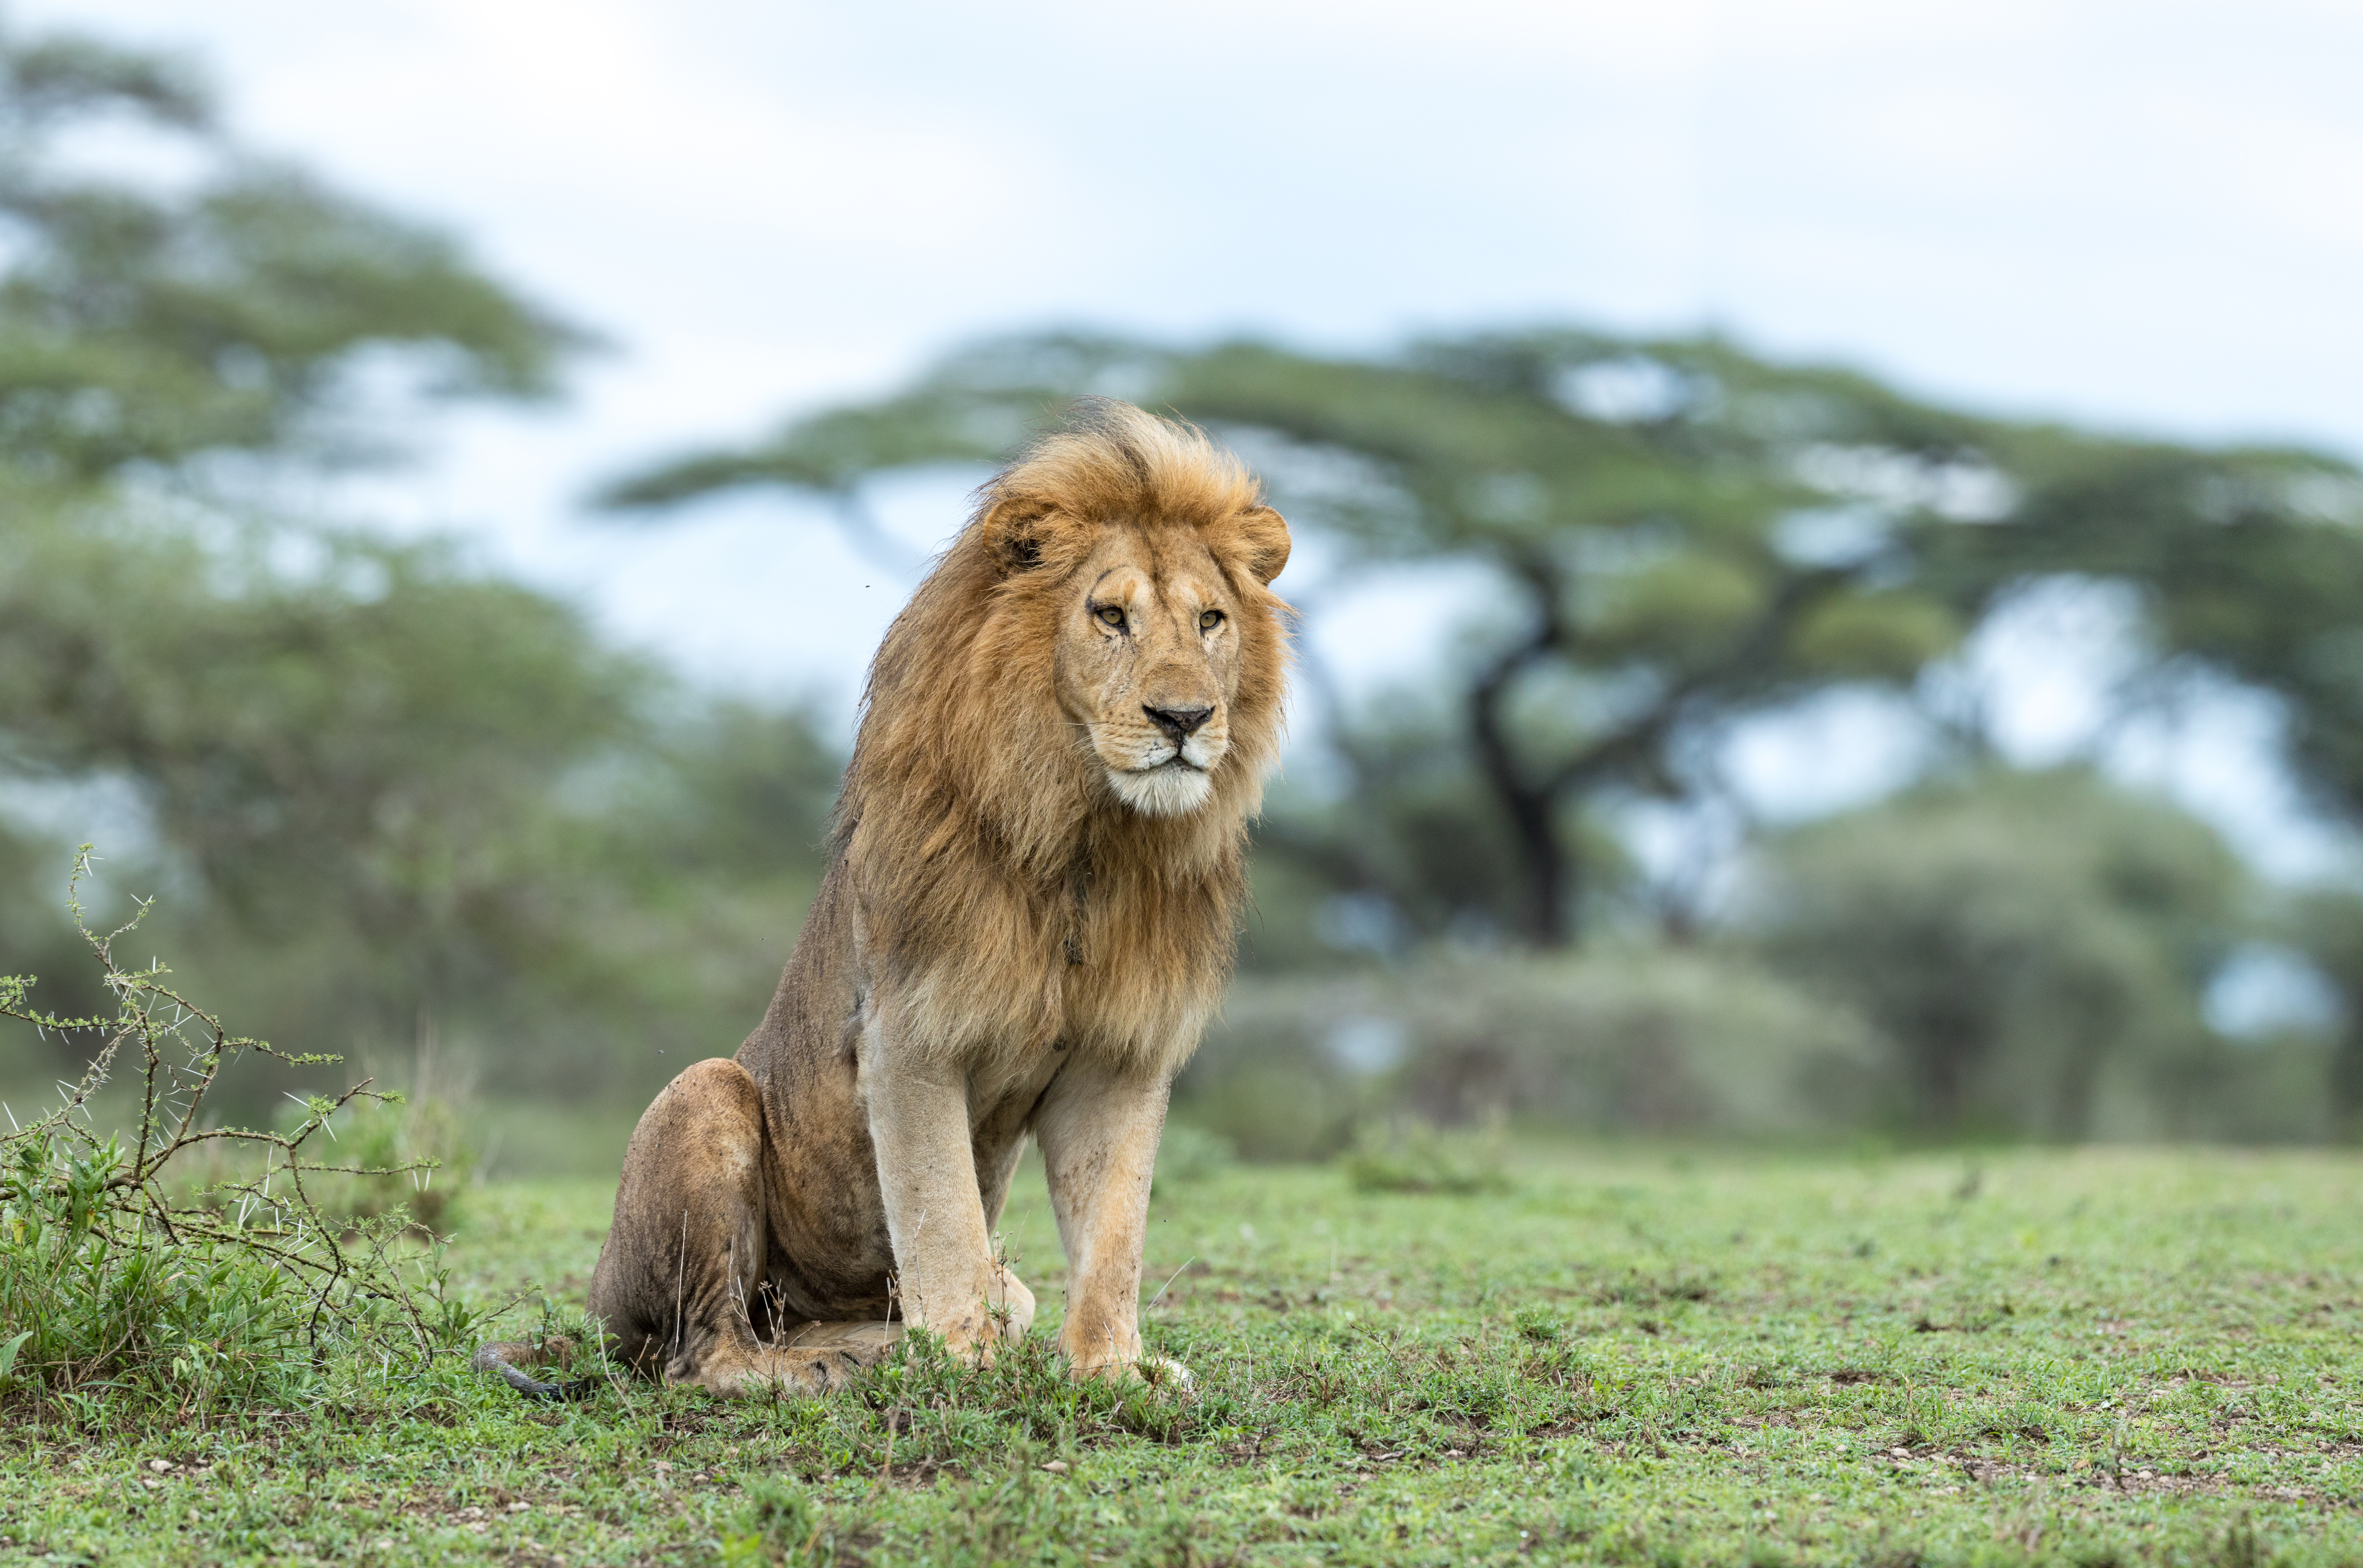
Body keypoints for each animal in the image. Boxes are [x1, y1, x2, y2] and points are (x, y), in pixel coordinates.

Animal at [476, 398, 1289, 1398]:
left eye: (1211, 620)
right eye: (1110, 616)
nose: (1184, 720)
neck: (1087, 842)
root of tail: (592, 1317)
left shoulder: (1120, 1056)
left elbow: (1113, 1233)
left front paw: (1111, 1368)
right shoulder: (910, 1033)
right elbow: (942, 1213)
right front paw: (966, 1359)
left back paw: (876, 1348)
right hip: (704, 1097)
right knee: (703, 1354)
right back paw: (820, 1367)